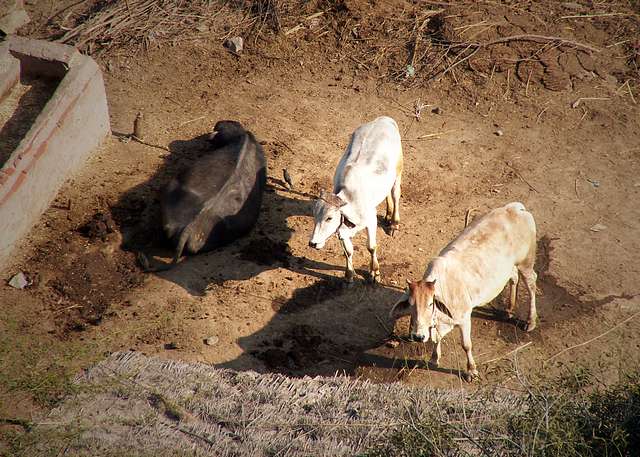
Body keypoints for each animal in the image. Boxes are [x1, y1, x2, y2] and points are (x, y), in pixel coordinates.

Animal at [308, 116, 402, 284]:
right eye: (314, 215)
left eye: (329, 218)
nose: (312, 243)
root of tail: (385, 119)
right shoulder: (342, 230)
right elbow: (348, 251)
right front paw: (349, 273)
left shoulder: (371, 220)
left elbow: (371, 247)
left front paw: (374, 272)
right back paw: (387, 214)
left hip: (398, 172)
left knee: (395, 194)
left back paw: (394, 223)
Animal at [390, 203, 536, 382]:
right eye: (411, 305)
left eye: (431, 303)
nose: (418, 336)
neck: (444, 288)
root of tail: (515, 208)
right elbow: (437, 339)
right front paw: (434, 358)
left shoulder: (465, 318)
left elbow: (466, 345)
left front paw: (471, 370)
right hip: (511, 267)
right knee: (513, 278)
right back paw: (509, 309)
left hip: (526, 263)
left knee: (531, 285)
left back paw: (530, 321)